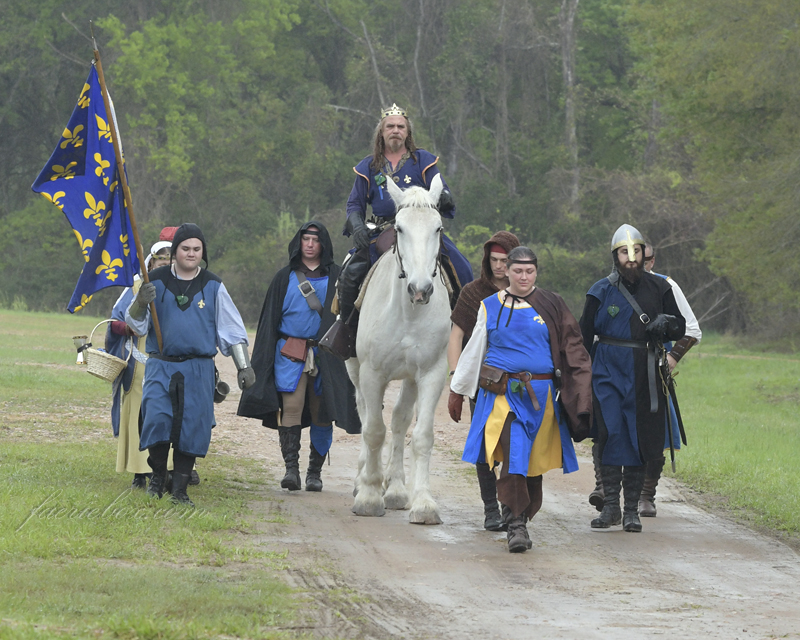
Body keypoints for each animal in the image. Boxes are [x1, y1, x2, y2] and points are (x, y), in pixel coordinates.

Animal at [348, 172, 454, 524]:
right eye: (399, 228)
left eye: (438, 228)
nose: (420, 289)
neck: (409, 313)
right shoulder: (372, 373)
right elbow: (373, 430)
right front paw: (368, 496)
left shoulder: (431, 373)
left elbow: (420, 435)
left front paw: (423, 503)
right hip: (355, 369)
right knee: (366, 414)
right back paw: (364, 479)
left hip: (409, 378)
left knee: (399, 420)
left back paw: (394, 488)